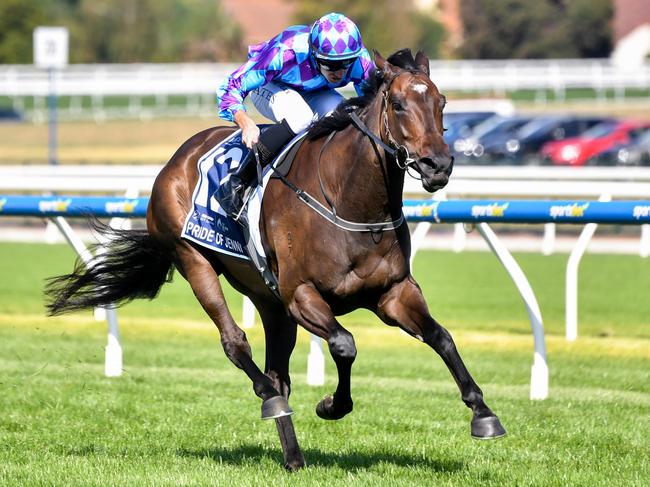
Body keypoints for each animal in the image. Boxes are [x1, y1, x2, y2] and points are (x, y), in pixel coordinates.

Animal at [49, 48, 506, 468]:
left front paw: (484, 414)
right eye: (398, 104)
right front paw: (331, 405)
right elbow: (344, 344)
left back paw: (293, 455)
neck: (352, 202)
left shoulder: (393, 293)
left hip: (269, 301)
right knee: (238, 346)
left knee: (278, 374)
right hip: (196, 261)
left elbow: (441, 337)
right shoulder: (302, 294)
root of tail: (179, 156)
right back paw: (270, 401)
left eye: (441, 102)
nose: (438, 164)